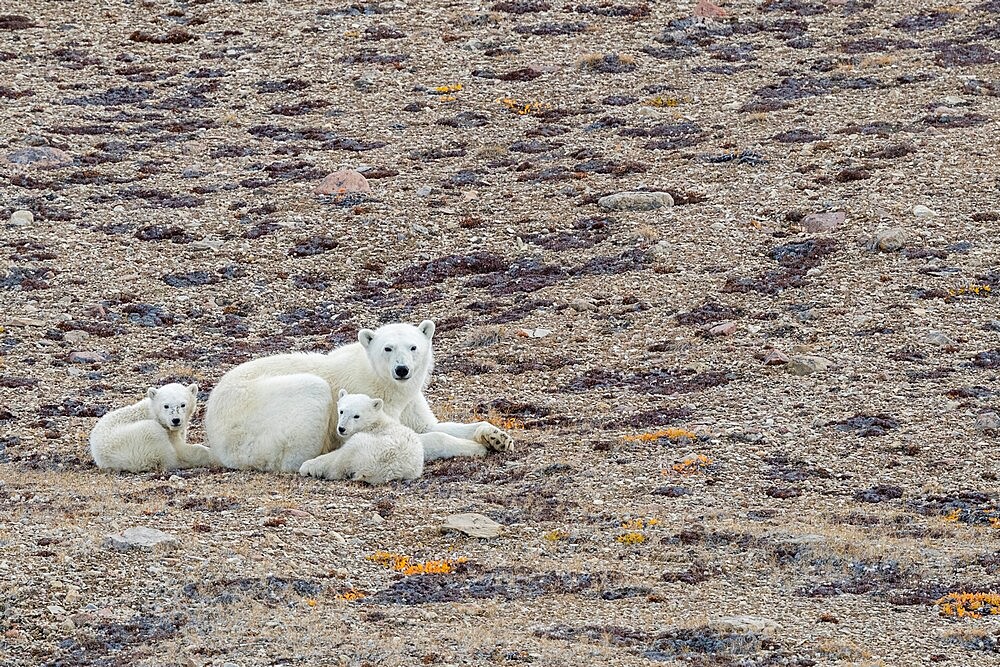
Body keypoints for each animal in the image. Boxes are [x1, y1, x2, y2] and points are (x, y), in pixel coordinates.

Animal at [89, 384, 217, 472]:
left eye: (183, 404)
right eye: (166, 406)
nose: (175, 420)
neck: (151, 412)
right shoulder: (166, 430)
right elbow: (181, 448)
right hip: (135, 441)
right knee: (167, 455)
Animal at [204, 320, 516, 472]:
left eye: (413, 346)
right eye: (388, 348)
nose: (402, 370)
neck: (382, 382)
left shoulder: (409, 401)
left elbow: (428, 425)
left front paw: (496, 437)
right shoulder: (366, 401)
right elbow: (415, 436)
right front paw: (475, 447)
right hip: (253, 418)